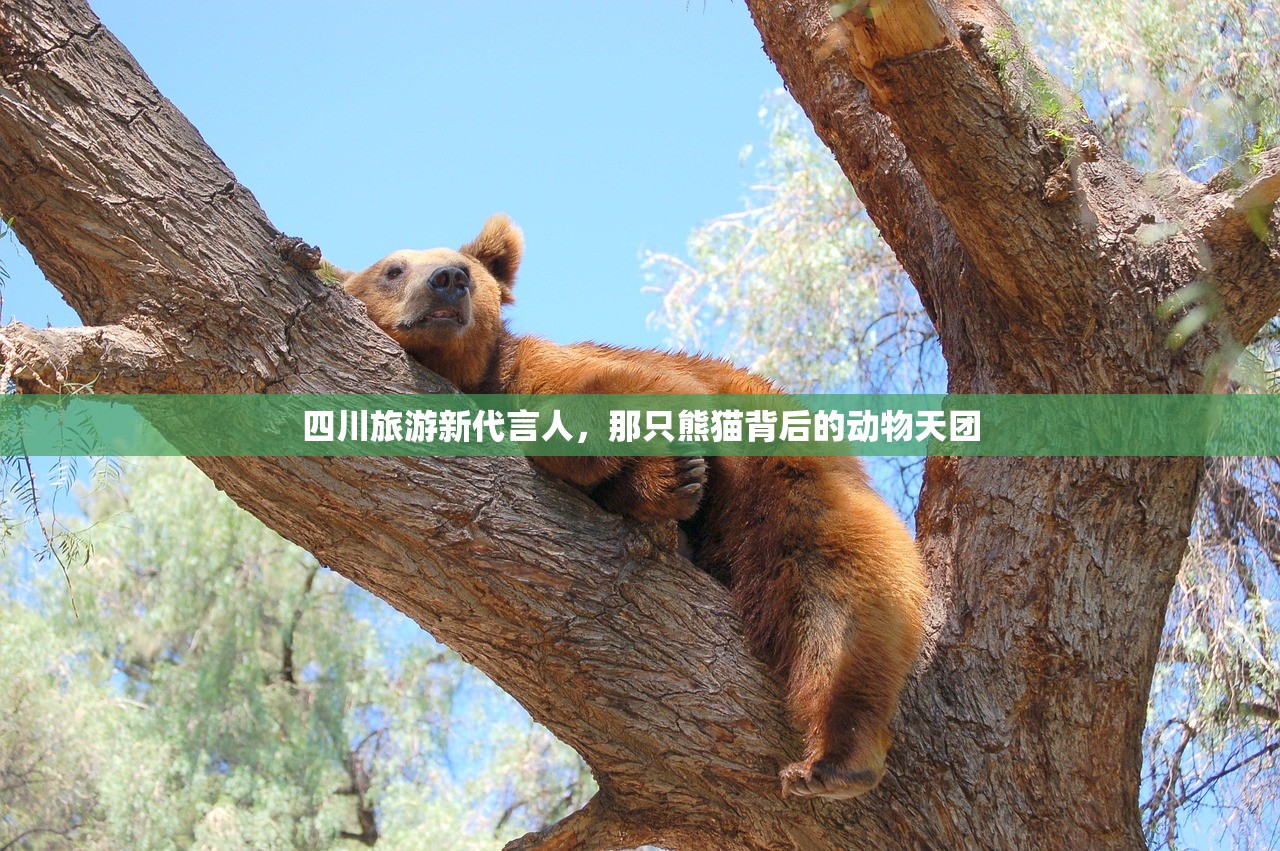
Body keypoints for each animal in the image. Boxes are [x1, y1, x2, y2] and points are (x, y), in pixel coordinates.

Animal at [335, 214, 928, 800]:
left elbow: (626, 395)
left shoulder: (546, 370)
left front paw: (670, 478)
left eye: (467, 269)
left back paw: (835, 758)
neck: (470, 380)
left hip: (786, 478)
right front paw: (662, 487)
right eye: (393, 269)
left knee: (838, 589)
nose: (450, 279)